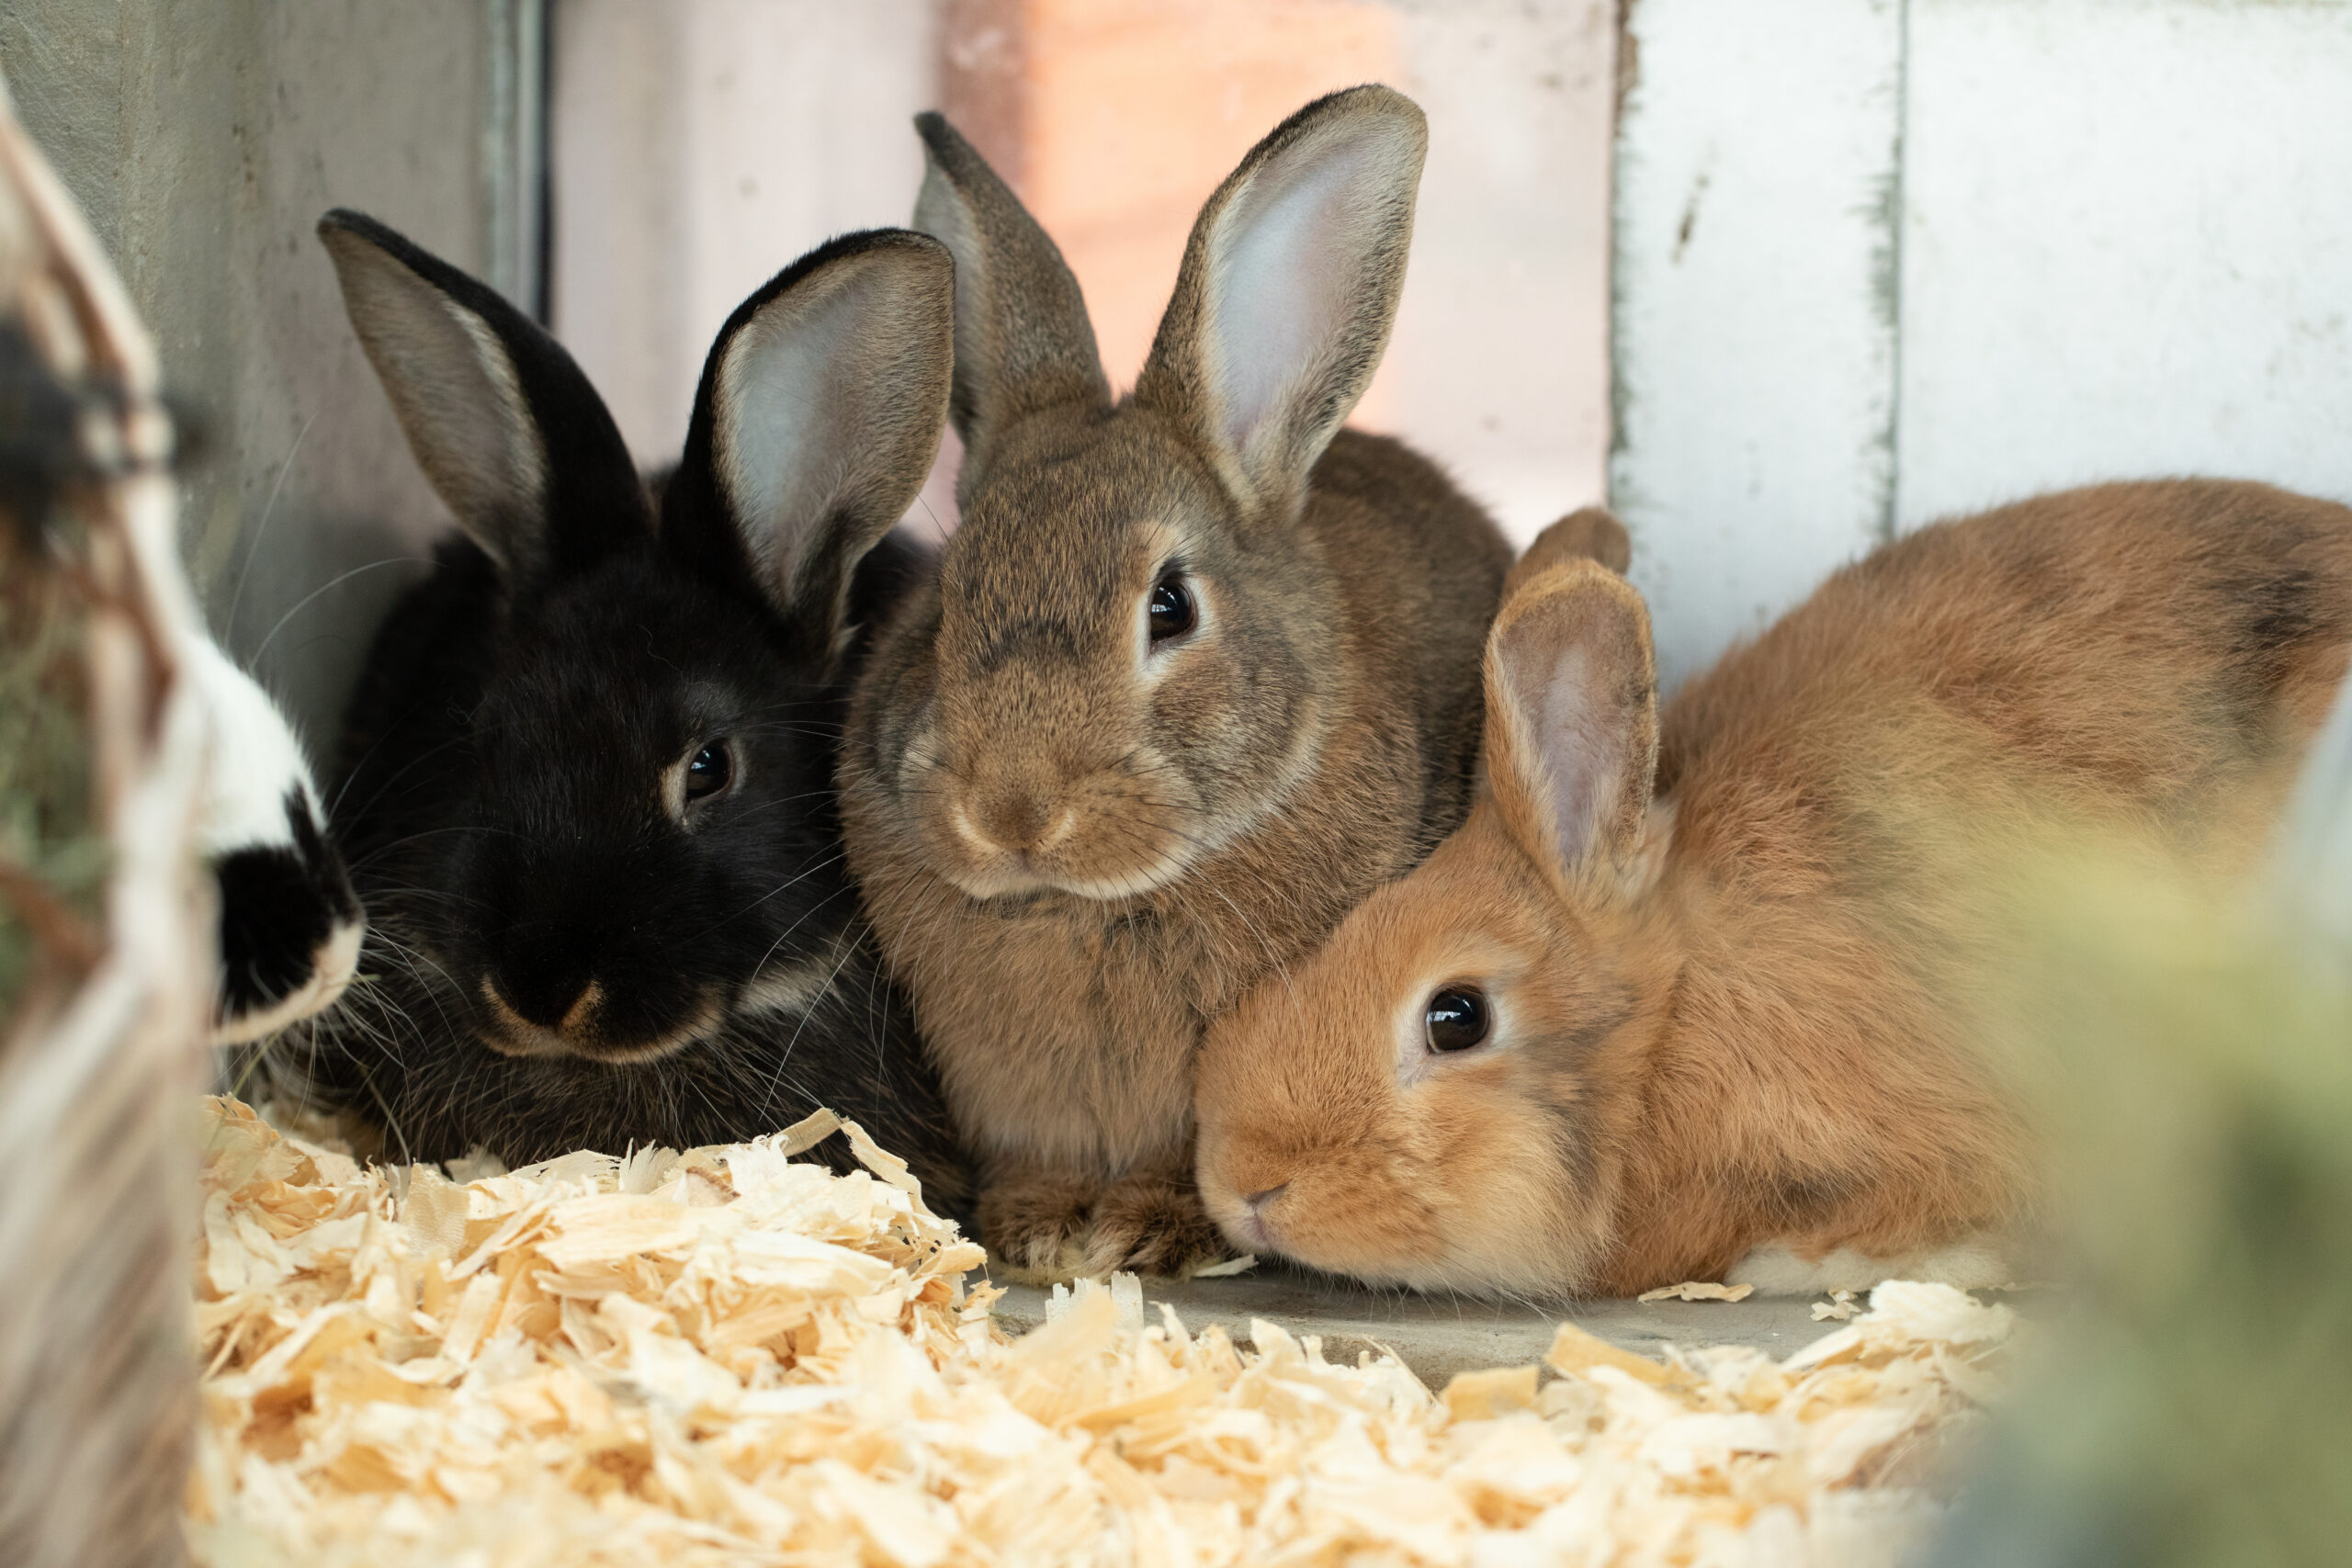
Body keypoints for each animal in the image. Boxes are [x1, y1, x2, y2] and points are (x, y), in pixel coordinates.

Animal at [842, 85, 1505, 1279]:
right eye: (947, 602)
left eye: (1170, 607)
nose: (1011, 810)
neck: (1086, 906)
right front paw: (1037, 1229)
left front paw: (1145, 1231)